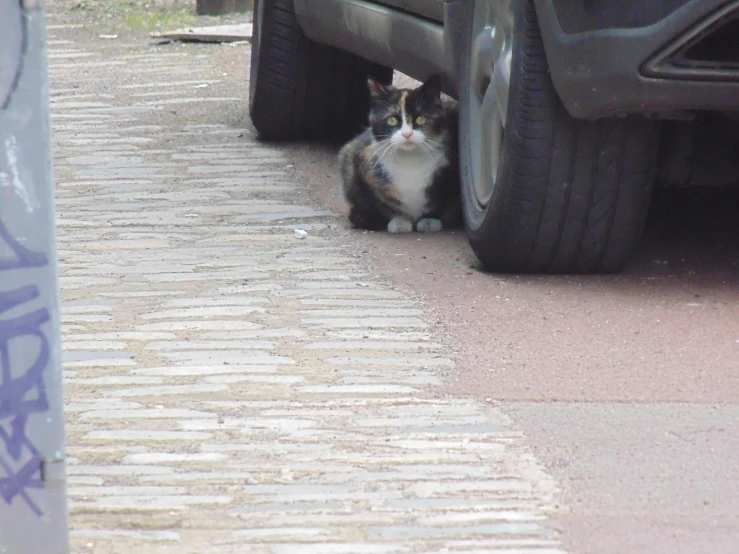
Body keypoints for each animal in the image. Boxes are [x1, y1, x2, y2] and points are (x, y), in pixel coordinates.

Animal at [338, 74, 460, 233]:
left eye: (420, 118)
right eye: (391, 120)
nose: (407, 134)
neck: (410, 162)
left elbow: (443, 199)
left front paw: (429, 220)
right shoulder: (361, 161)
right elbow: (381, 201)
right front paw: (400, 221)